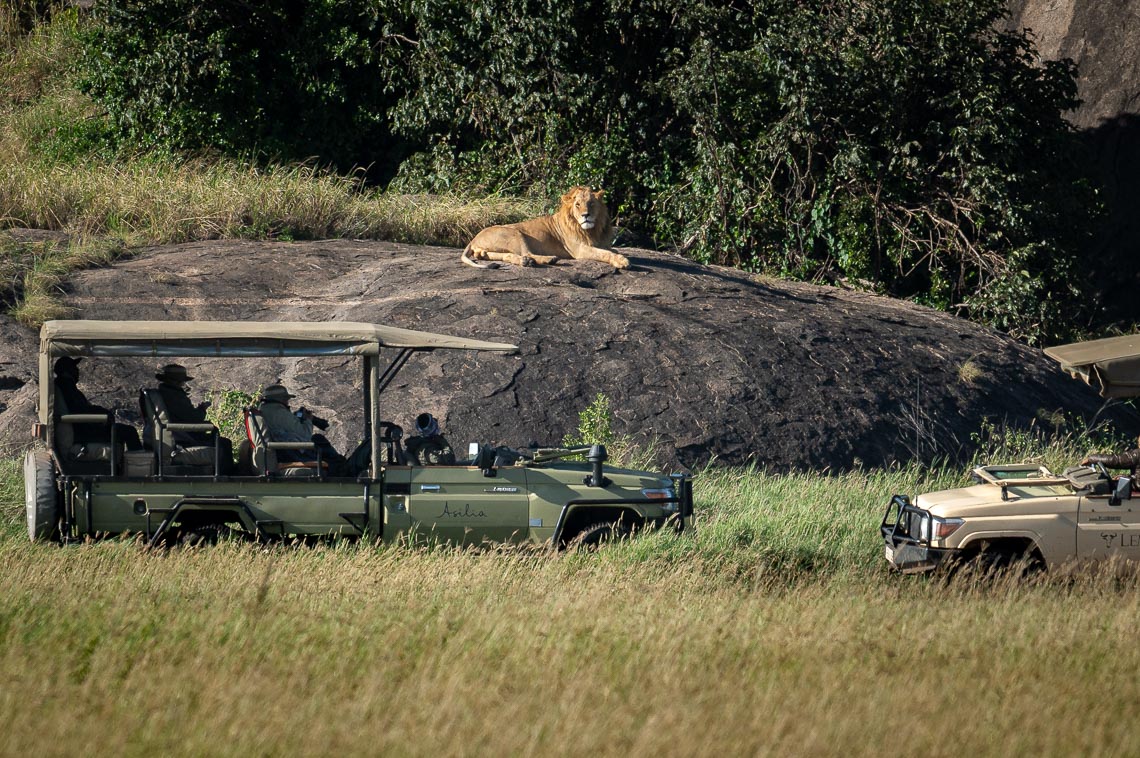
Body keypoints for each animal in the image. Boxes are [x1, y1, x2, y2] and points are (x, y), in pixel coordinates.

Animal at [458, 185, 629, 269]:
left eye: (591, 203)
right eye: (577, 204)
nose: (585, 215)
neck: (592, 230)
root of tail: (473, 239)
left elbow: (611, 250)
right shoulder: (579, 249)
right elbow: (604, 254)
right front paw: (622, 261)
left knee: (501, 255)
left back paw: (525, 262)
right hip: (515, 233)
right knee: (527, 252)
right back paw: (547, 259)